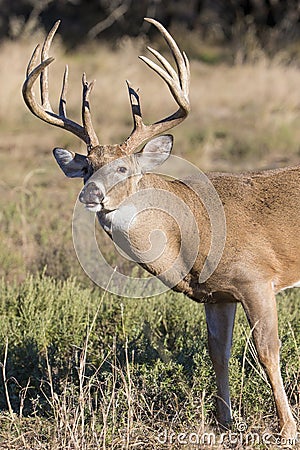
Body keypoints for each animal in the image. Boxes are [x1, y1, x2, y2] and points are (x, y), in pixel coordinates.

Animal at [22, 18, 298, 440]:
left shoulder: (257, 278)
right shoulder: (218, 295)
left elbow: (267, 350)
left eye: (122, 168)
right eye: (86, 167)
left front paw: (286, 428)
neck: (193, 234)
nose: (90, 193)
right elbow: (218, 352)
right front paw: (224, 423)